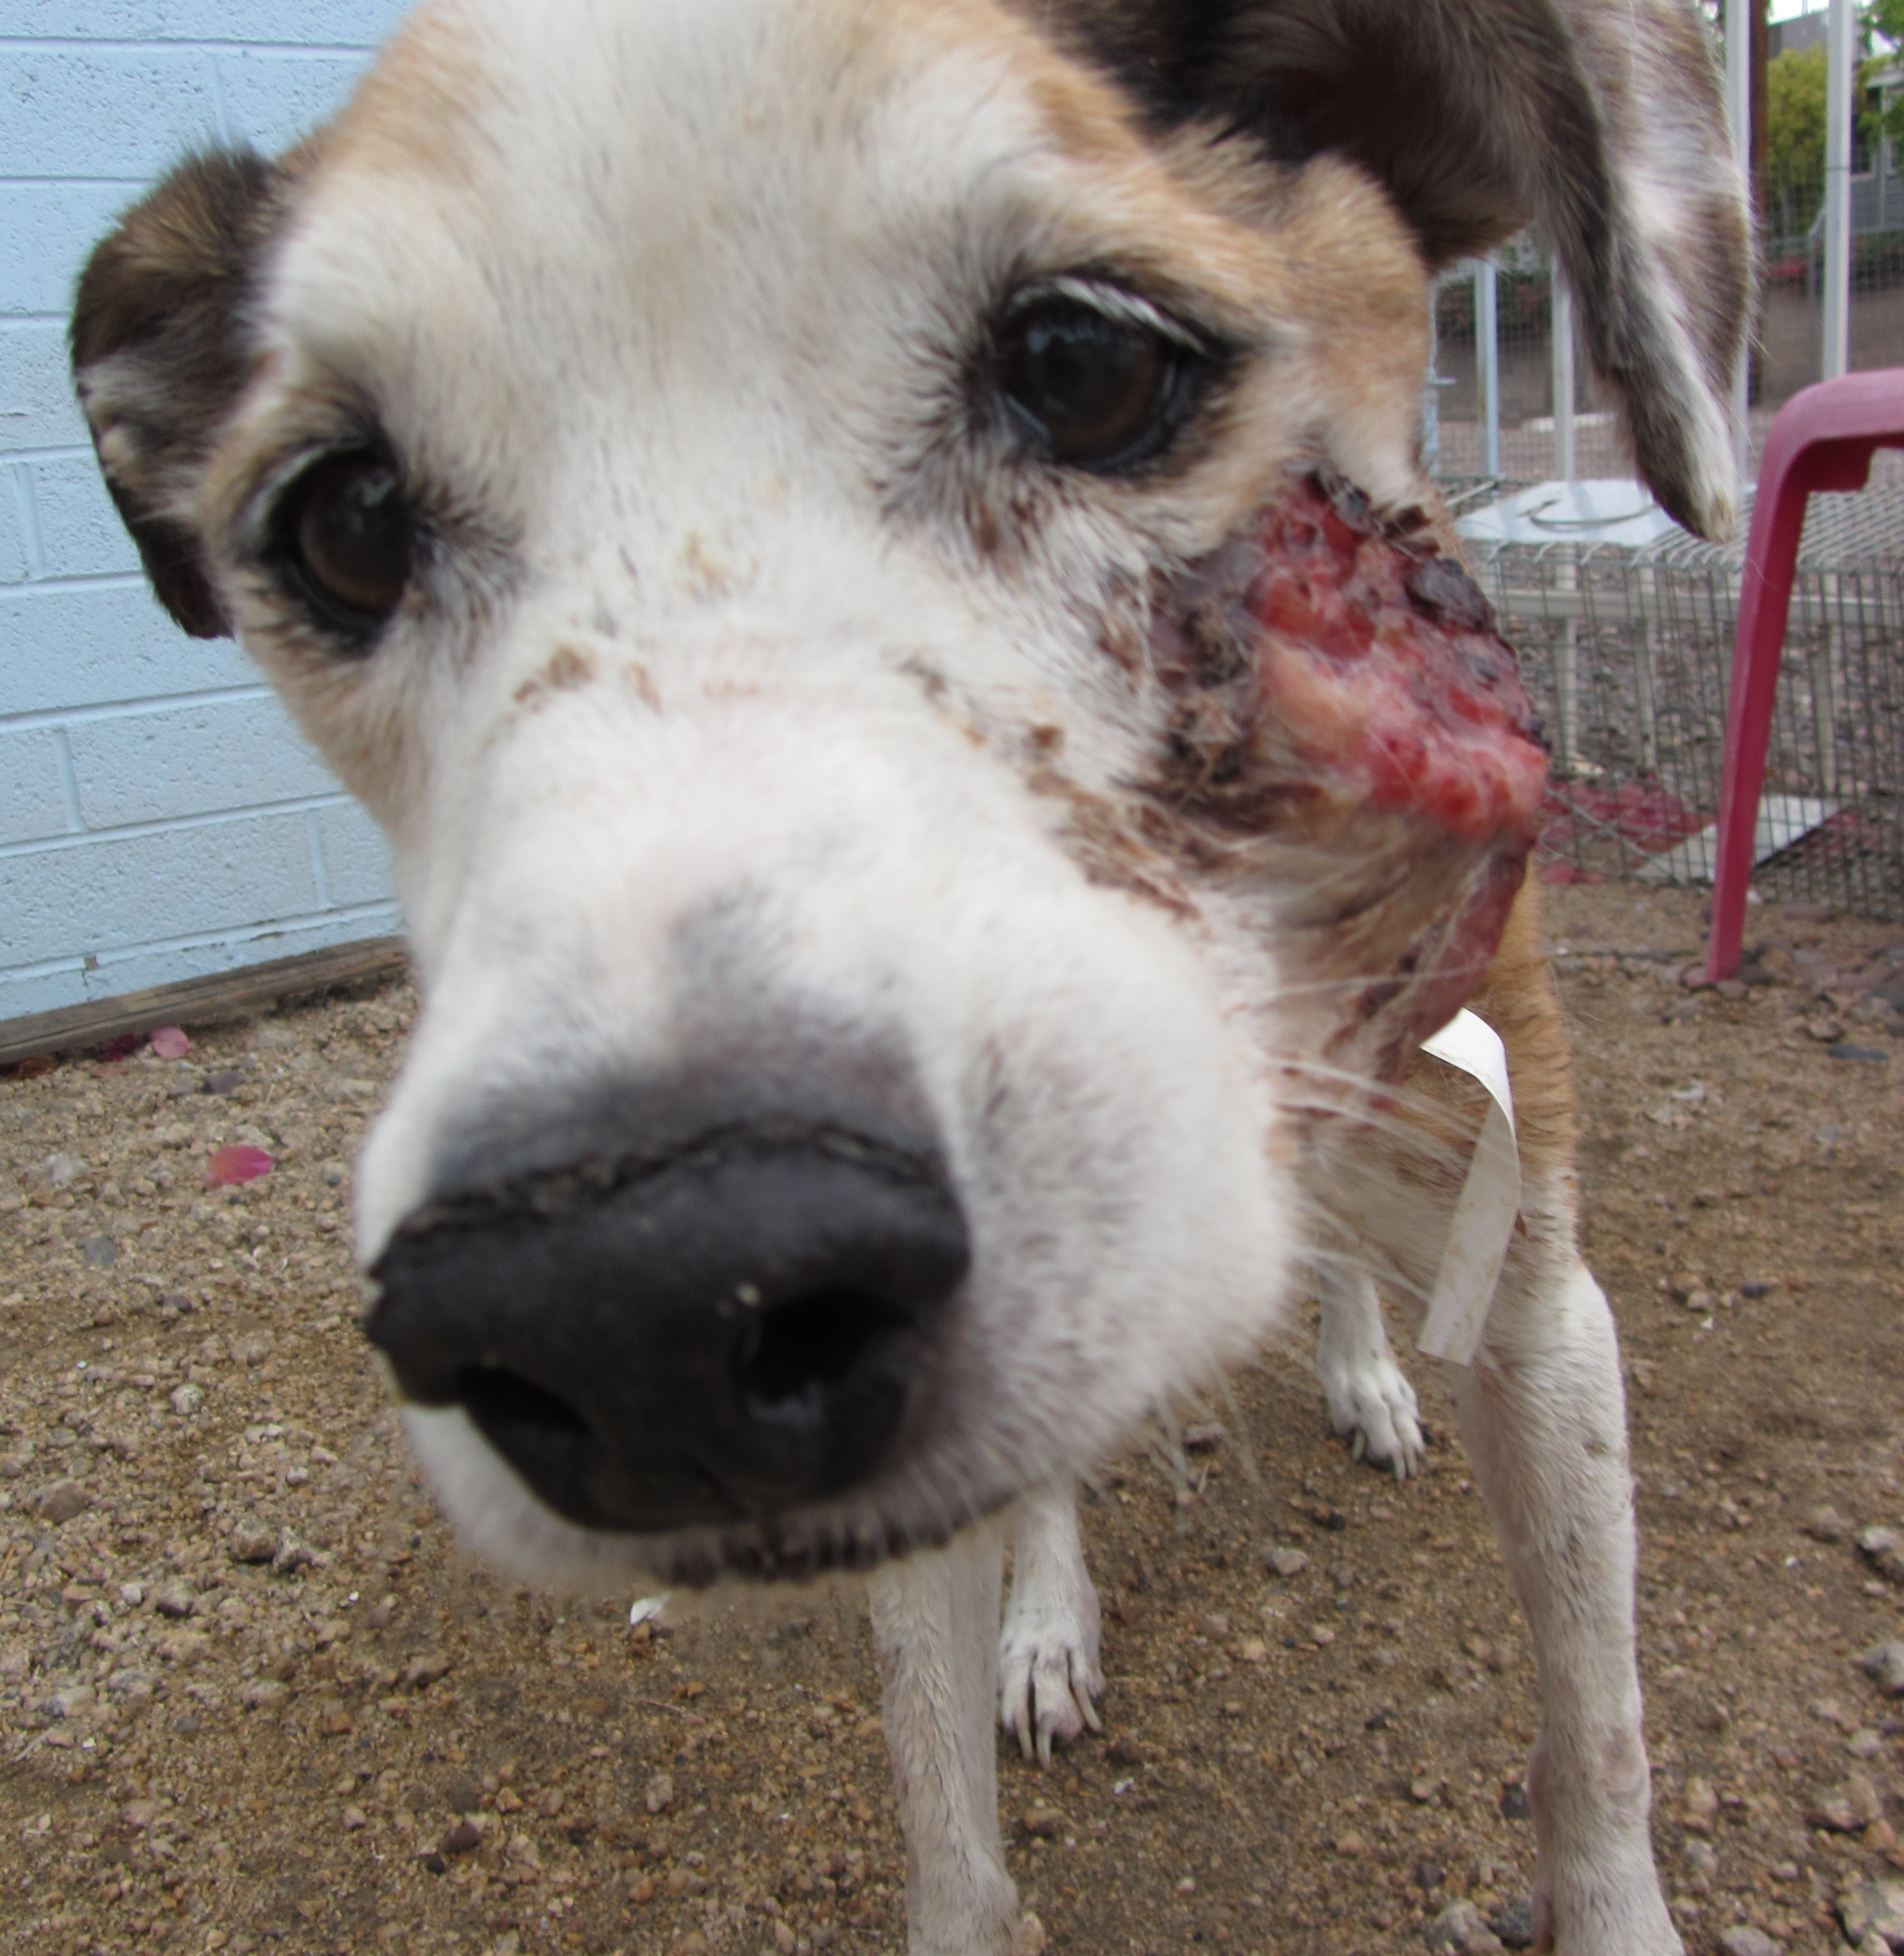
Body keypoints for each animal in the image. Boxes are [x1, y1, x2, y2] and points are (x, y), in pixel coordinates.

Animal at [70, 7, 1738, 1948]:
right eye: (337, 523)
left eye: (1084, 365)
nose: (635, 1301)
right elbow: (943, 1815)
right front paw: (1022, 1633)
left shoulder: (1546, 1314)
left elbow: (1592, 1735)